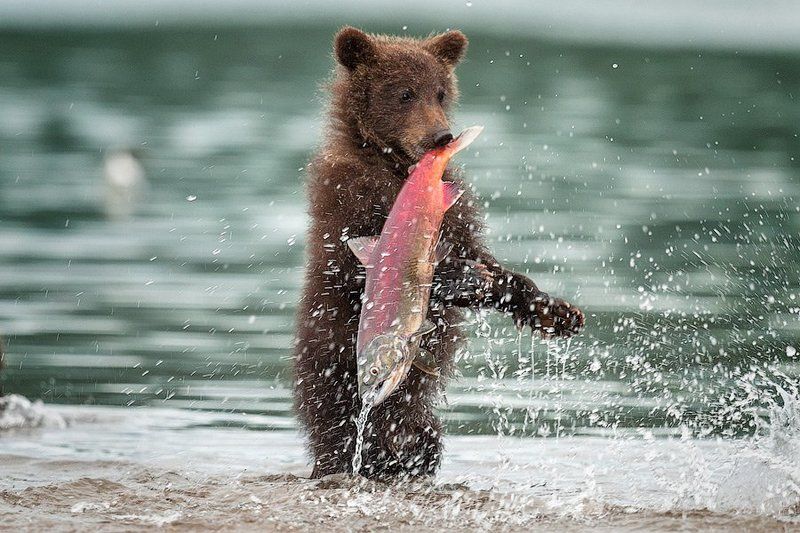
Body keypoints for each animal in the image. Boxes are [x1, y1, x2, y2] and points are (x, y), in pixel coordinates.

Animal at [293, 27, 584, 480]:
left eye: (441, 92)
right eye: (404, 93)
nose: (441, 137)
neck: (399, 169)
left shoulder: (457, 214)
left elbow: (490, 263)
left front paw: (555, 310)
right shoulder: (347, 201)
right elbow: (353, 266)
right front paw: (463, 279)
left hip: (415, 419)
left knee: (422, 442)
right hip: (332, 382)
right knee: (339, 437)